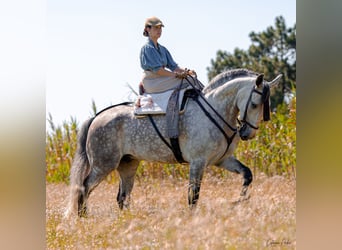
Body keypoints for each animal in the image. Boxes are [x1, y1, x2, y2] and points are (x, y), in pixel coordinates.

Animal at [65, 68, 282, 217]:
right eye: (254, 104)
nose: (247, 134)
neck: (215, 110)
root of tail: (96, 117)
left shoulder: (222, 160)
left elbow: (247, 175)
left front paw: (239, 200)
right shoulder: (198, 162)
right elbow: (193, 196)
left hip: (128, 164)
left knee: (122, 197)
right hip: (103, 165)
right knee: (84, 187)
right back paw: (83, 217)